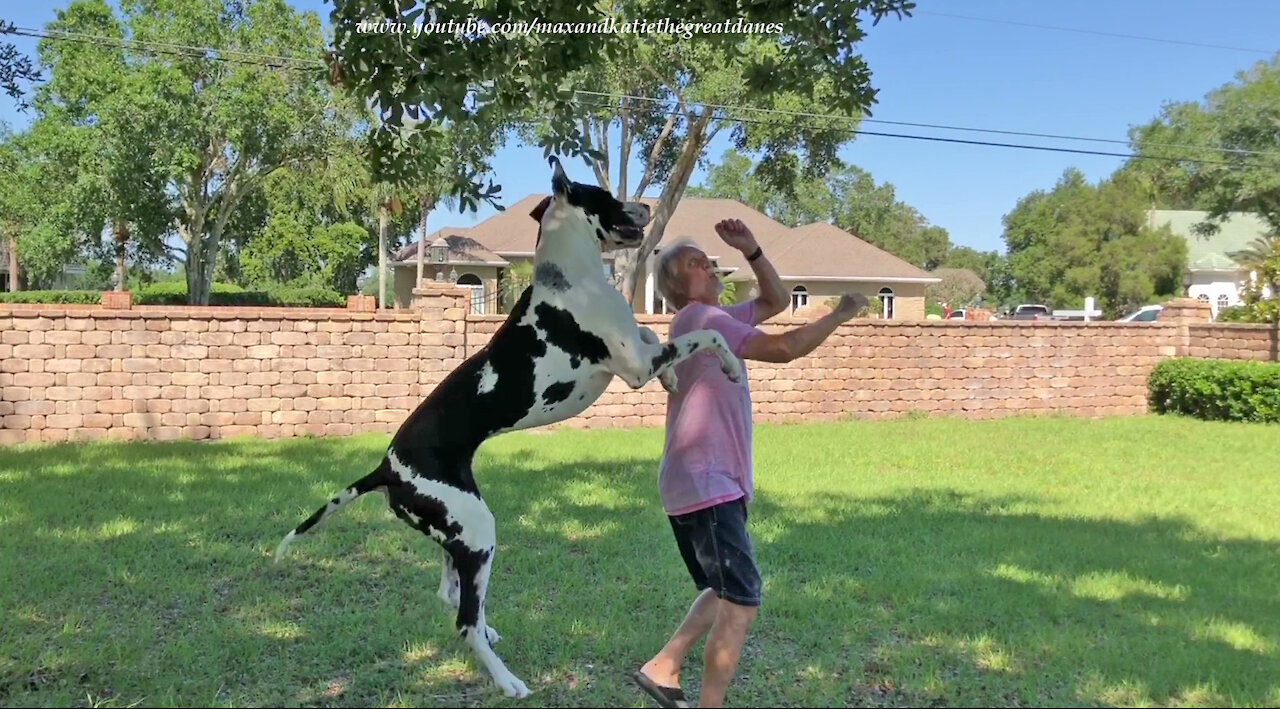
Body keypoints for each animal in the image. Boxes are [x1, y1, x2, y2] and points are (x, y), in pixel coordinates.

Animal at [275, 156, 747, 696]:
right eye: (605, 194)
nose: (646, 208)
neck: (569, 277)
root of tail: (387, 467)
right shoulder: (634, 367)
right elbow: (705, 335)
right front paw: (730, 366)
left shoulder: (640, 353)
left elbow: (654, 332)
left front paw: (673, 376)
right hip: (480, 532)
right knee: (464, 621)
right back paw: (507, 681)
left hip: (458, 532)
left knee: (451, 594)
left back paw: (490, 632)